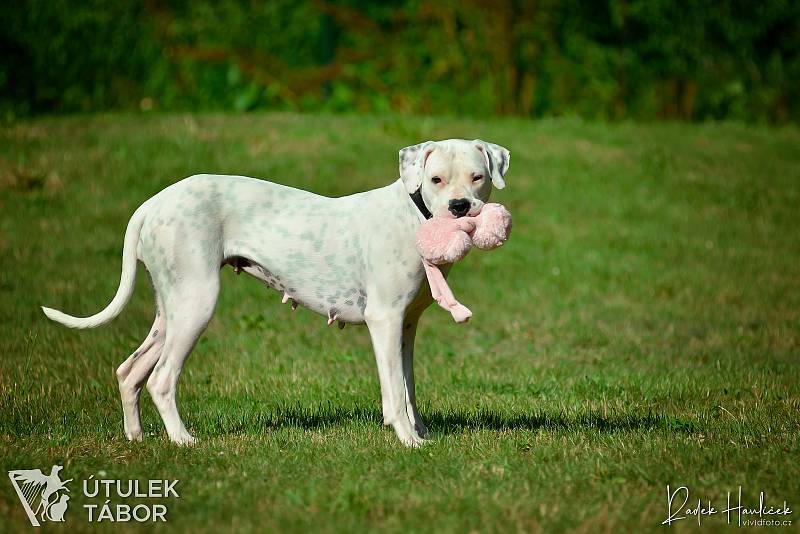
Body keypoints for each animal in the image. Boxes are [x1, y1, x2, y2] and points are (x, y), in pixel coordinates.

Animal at [40, 139, 510, 448]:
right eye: (436, 179)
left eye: (477, 178)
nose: (460, 207)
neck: (413, 214)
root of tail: (152, 203)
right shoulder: (385, 321)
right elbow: (394, 391)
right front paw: (408, 441)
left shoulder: (407, 325)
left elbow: (409, 386)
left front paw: (422, 434)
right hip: (196, 304)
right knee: (160, 379)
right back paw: (183, 440)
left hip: (170, 310)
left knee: (130, 371)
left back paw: (136, 437)